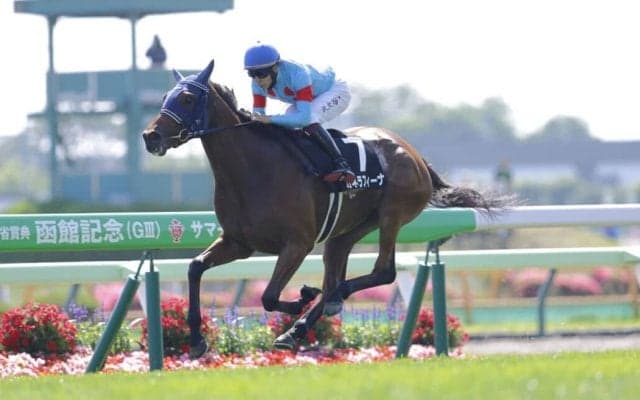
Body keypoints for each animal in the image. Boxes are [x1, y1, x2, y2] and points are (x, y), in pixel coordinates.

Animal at [142, 59, 509, 358]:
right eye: (164, 99)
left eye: (187, 99)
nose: (150, 136)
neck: (252, 170)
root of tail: (414, 154)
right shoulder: (238, 242)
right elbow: (194, 269)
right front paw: (197, 340)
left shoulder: (297, 243)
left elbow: (270, 296)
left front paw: (302, 297)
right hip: (348, 230)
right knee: (342, 263)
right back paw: (301, 325)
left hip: (392, 215)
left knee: (381, 272)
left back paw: (322, 305)